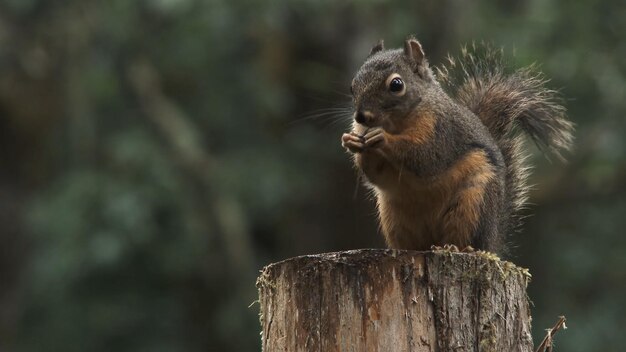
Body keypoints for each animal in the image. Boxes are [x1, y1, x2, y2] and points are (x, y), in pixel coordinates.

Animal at [342, 37, 572, 254]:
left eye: (396, 85)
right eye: (352, 86)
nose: (361, 117)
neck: (396, 123)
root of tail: (493, 241)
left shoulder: (443, 131)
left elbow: (425, 156)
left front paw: (383, 138)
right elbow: (376, 174)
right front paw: (352, 141)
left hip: (473, 204)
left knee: (466, 237)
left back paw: (454, 248)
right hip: (393, 218)